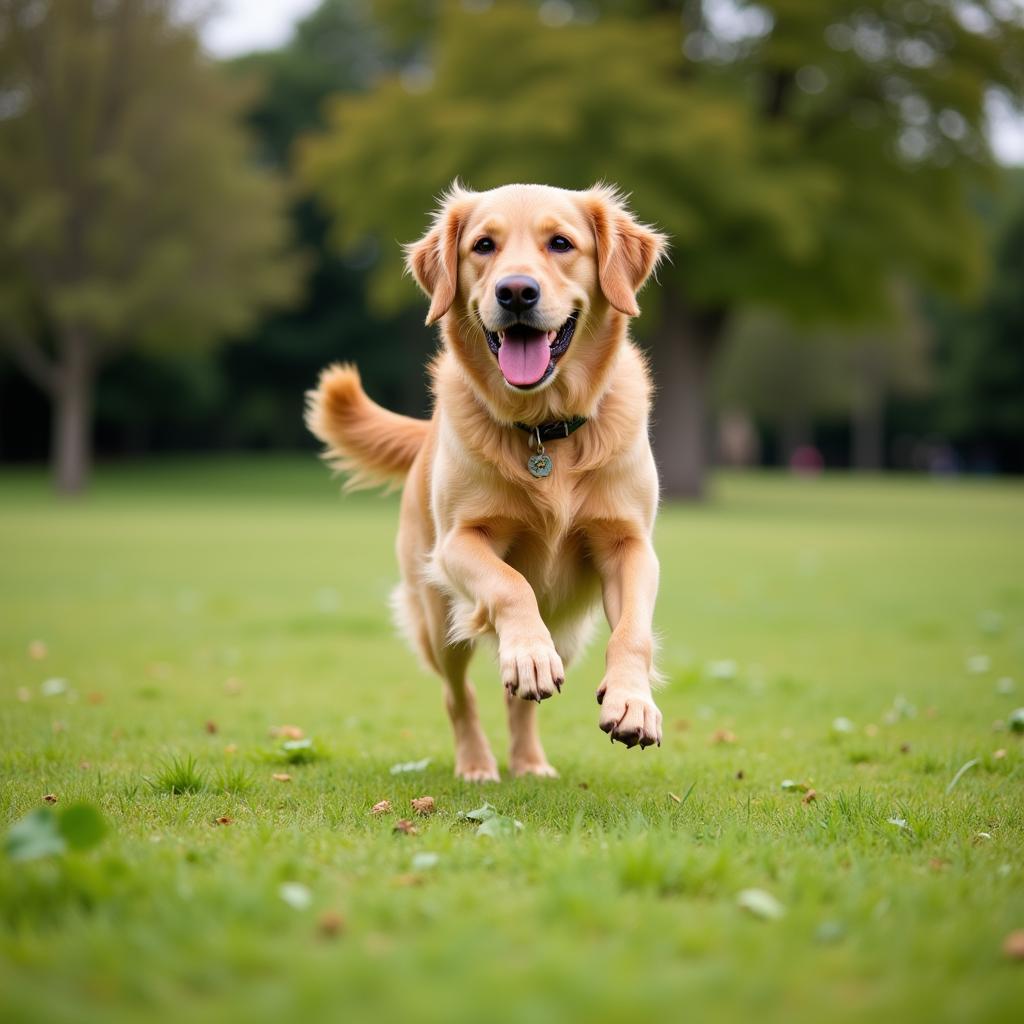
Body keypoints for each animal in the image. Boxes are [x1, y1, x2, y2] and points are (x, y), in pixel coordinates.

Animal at [307, 184, 667, 778]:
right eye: (483, 245)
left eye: (561, 243)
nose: (516, 291)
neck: (543, 429)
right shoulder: (458, 542)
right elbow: (510, 583)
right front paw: (529, 654)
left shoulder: (629, 544)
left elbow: (633, 631)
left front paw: (632, 703)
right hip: (438, 617)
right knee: (460, 695)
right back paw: (478, 762)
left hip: (567, 627)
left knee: (517, 700)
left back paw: (530, 763)